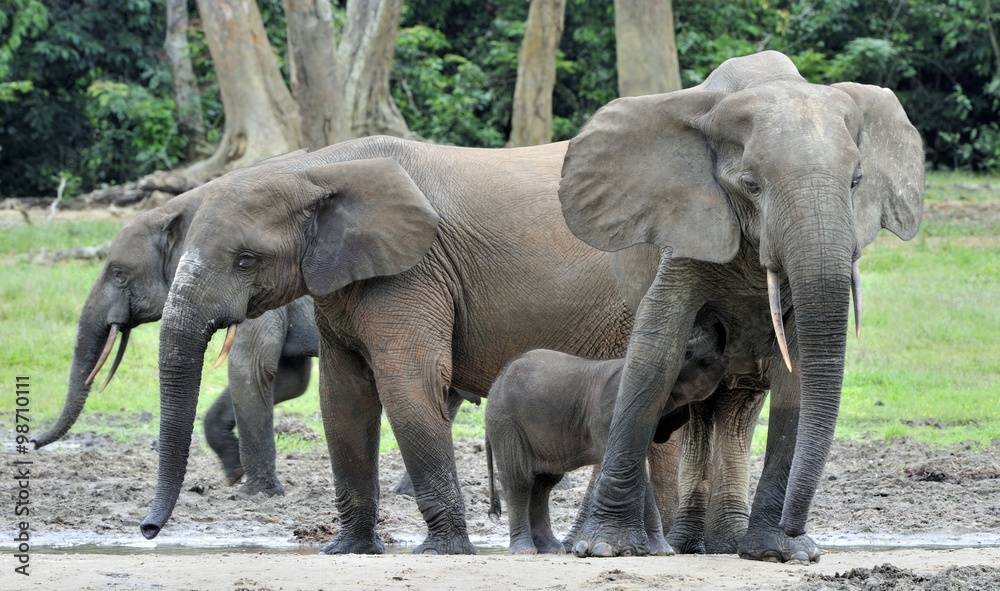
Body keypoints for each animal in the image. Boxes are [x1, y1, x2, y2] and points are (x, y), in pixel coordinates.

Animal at [139, 136, 645, 555]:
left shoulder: (413, 271)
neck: (317, 170)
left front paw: (442, 552)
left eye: (246, 261)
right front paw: (347, 551)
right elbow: (343, 398)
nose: (147, 530)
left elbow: (407, 384)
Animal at [485, 325, 729, 555]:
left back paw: (552, 549)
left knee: (544, 484)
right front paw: (662, 551)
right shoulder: (607, 417)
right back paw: (525, 550)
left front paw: (660, 551)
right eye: (688, 352)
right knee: (520, 481)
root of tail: (494, 385)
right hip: (505, 422)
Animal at [558, 51, 924, 562]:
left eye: (856, 181)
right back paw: (688, 546)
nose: (796, 528)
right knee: (696, 408)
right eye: (750, 185)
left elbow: (797, 374)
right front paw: (607, 548)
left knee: (737, 407)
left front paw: (781, 553)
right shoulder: (687, 225)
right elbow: (656, 352)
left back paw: (726, 544)